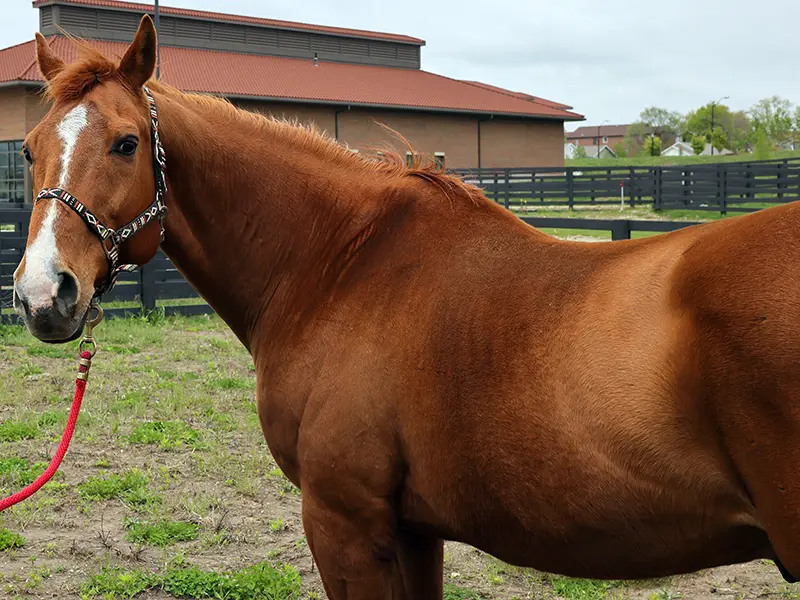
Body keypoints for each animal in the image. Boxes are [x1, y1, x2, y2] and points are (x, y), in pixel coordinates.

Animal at [12, 15, 800, 599]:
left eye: (126, 143)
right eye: (26, 150)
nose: (44, 293)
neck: (341, 264)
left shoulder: (345, 522)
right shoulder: (416, 530)